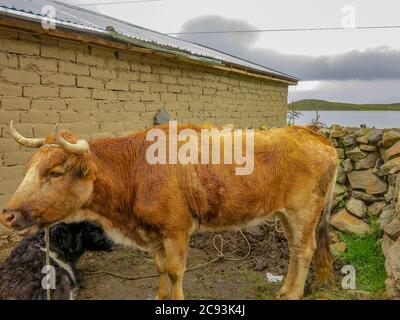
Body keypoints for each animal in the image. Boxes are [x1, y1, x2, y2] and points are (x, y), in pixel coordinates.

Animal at [0, 122, 338, 300]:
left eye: (55, 172)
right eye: (28, 168)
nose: (8, 215)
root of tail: (313, 135)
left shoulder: (177, 230)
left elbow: (175, 271)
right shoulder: (155, 232)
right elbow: (161, 267)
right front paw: (160, 296)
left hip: (304, 210)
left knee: (305, 250)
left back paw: (293, 293)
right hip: (285, 214)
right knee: (295, 249)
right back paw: (284, 289)